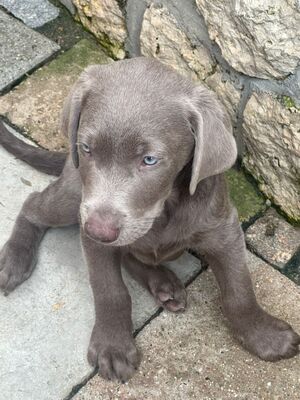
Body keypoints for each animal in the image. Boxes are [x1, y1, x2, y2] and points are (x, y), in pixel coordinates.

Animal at [0, 58, 298, 382]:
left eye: (150, 160)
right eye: (87, 148)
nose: (98, 230)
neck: (162, 210)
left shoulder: (223, 228)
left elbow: (239, 289)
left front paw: (264, 336)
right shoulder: (93, 230)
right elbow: (110, 291)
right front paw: (113, 347)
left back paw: (163, 283)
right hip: (73, 196)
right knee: (32, 204)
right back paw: (14, 260)